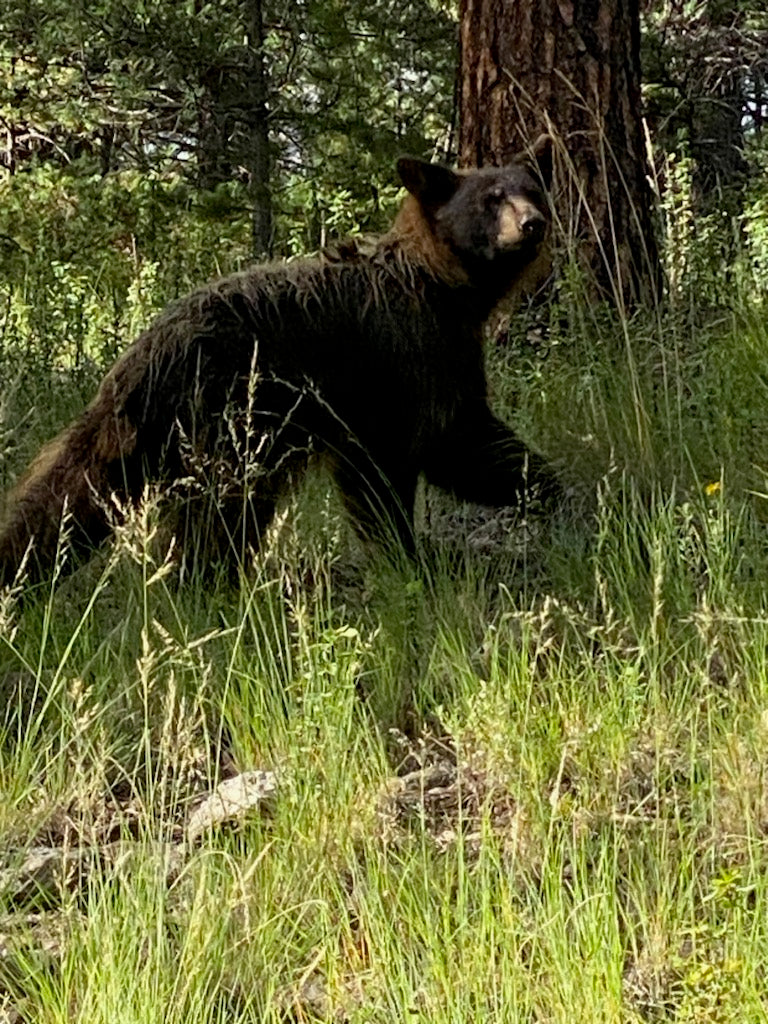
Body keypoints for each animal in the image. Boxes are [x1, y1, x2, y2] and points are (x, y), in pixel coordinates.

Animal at [0, 135, 558, 589]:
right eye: (491, 198)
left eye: (532, 189)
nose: (533, 224)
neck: (447, 286)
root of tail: (143, 356)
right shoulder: (408, 357)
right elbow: (441, 445)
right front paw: (411, 552)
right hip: (232, 420)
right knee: (221, 513)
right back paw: (207, 581)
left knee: (73, 499)